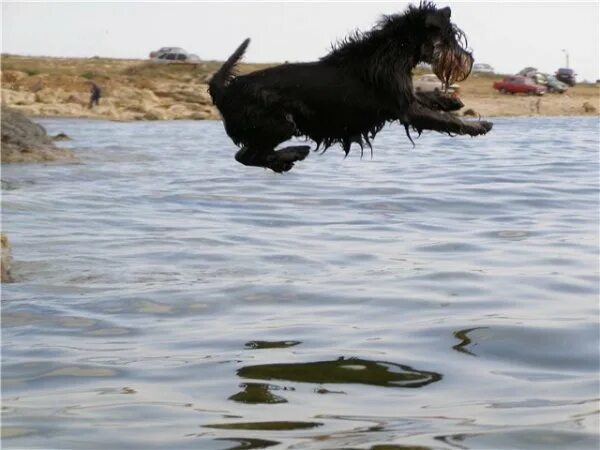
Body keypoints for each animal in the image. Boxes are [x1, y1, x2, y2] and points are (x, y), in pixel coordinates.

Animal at [210, 2, 492, 172]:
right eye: (450, 36)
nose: (470, 60)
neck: (393, 51)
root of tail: (223, 91)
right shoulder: (406, 110)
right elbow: (446, 120)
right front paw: (479, 126)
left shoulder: (405, 97)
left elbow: (426, 96)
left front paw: (451, 100)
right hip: (280, 124)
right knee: (247, 156)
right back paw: (293, 154)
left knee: (248, 155)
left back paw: (288, 157)